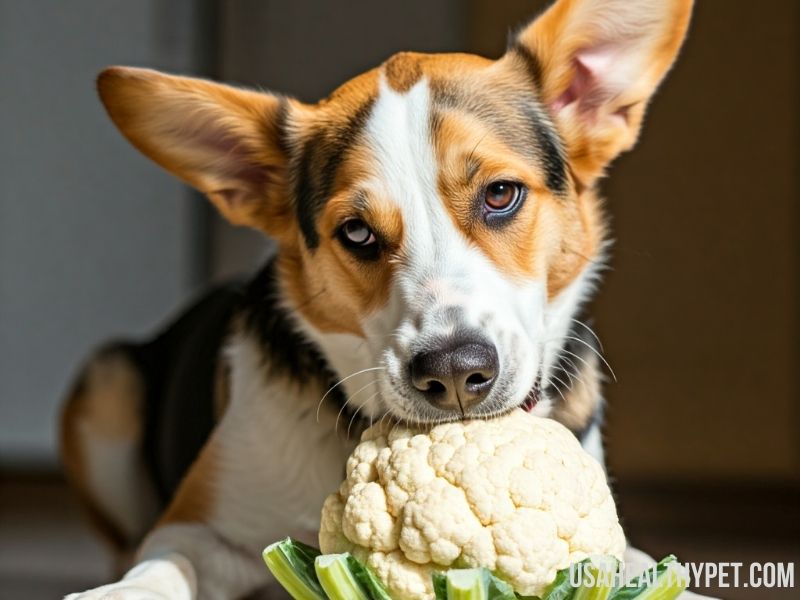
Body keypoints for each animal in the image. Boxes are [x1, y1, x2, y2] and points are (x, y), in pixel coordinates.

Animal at [62, 0, 692, 596]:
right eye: (357, 233)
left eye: (500, 194)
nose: (454, 373)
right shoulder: (196, 525)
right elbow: (167, 563)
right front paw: (122, 592)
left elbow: (642, 564)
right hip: (107, 382)